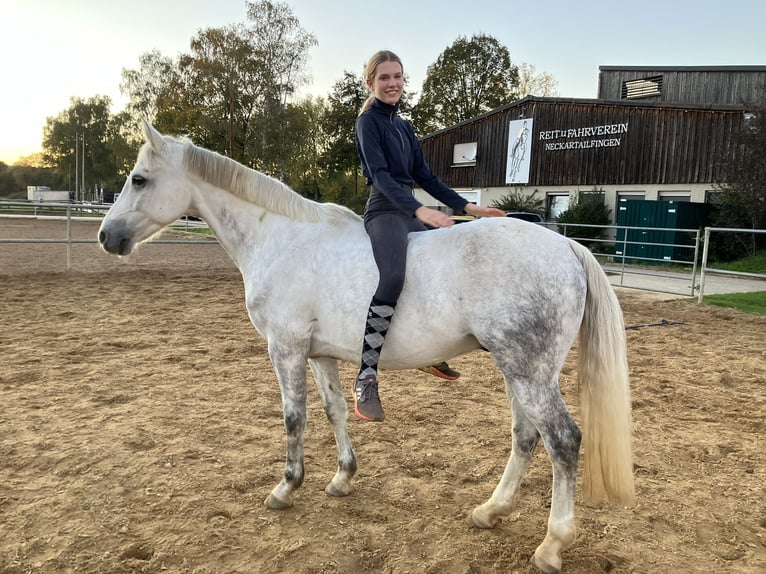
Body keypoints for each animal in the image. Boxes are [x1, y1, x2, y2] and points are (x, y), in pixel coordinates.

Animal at [98, 121, 634, 574]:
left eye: (139, 179)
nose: (106, 236)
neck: (280, 237)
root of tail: (565, 246)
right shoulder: (320, 355)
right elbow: (334, 411)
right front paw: (342, 478)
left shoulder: (285, 349)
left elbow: (294, 418)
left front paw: (286, 487)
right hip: (518, 371)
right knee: (526, 435)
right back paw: (491, 511)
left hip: (528, 372)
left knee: (562, 440)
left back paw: (551, 545)